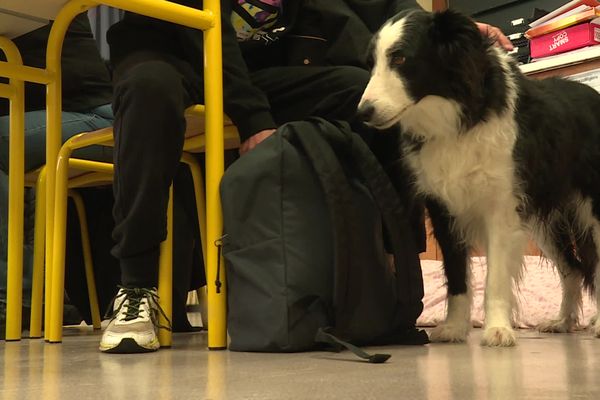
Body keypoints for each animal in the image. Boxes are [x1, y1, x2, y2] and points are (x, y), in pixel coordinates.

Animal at [358, 9, 600, 346]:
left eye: (401, 58)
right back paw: (562, 321)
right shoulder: (444, 208)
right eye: (370, 64)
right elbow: (456, 274)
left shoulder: (501, 206)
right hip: (544, 220)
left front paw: (497, 329)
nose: (362, 113)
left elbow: (495, 276)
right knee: (573, 269)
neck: (456, 113)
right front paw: (454, 327)